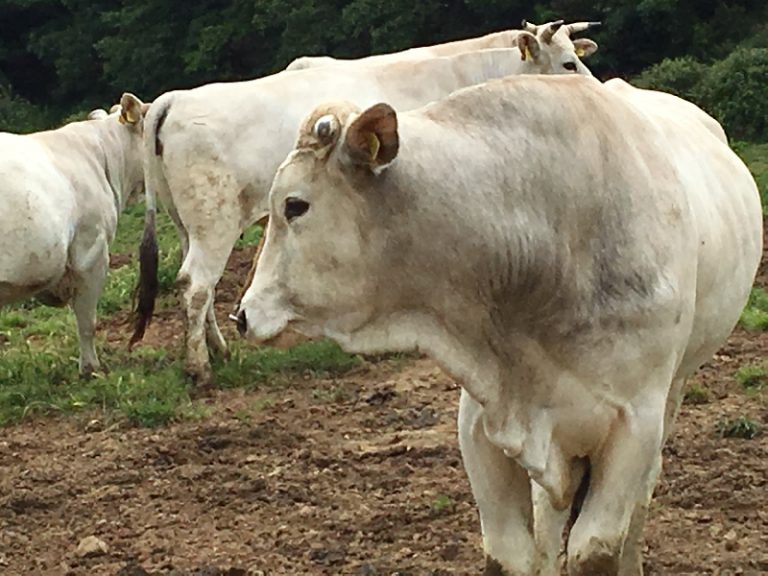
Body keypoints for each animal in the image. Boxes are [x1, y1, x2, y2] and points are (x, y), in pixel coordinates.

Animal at [130, 21, 600, 388]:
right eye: (568, 64)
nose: (597, 93)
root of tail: (174, 99)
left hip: (189, 225)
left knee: (195, 285)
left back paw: (219, 350)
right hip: (215, 221)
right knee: (197, 284)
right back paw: (200, 367)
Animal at [238, 73, 760, 576]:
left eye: (294, 205)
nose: (241, 315)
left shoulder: (637, 420)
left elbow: (595, 550)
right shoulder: (482, 422)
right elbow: (510, 555)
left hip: (673, 390)